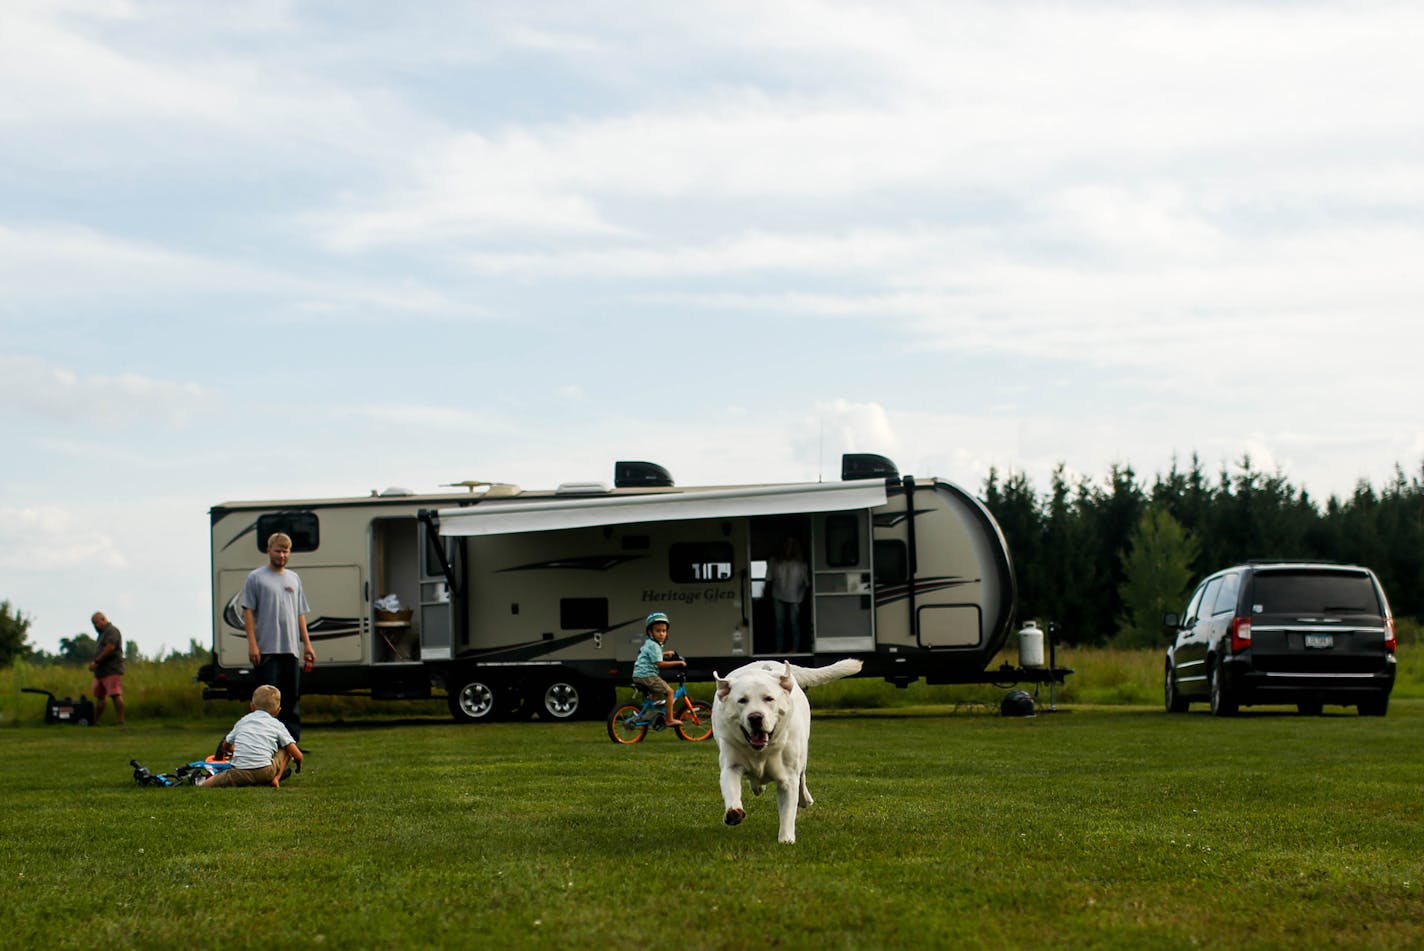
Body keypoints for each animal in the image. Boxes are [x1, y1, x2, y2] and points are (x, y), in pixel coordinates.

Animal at [709, 657, 854, 842]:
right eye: (742, 700)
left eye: (769, 698)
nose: (755, 717)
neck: (762, 751)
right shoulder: (731, 765)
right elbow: (731, 789)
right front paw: (733, 812)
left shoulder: (788, 778)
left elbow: (788, 811)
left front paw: (786, 839)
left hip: (802, 754)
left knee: (802, 778)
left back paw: (804, 799)